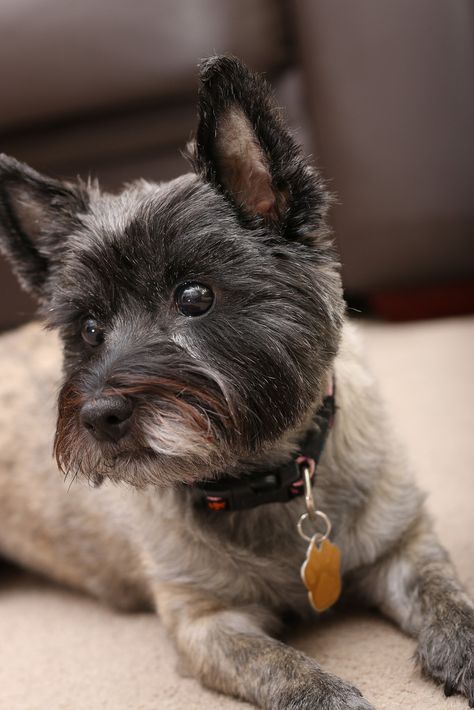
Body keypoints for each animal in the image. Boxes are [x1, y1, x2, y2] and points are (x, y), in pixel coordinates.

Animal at [0, 57, 472, 710]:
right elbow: (284, 669)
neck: (265, 479)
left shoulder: (402, 542)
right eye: (90, 329)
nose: (99, 416)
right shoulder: (207, 622)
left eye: (195, 295)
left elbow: (444, 592)